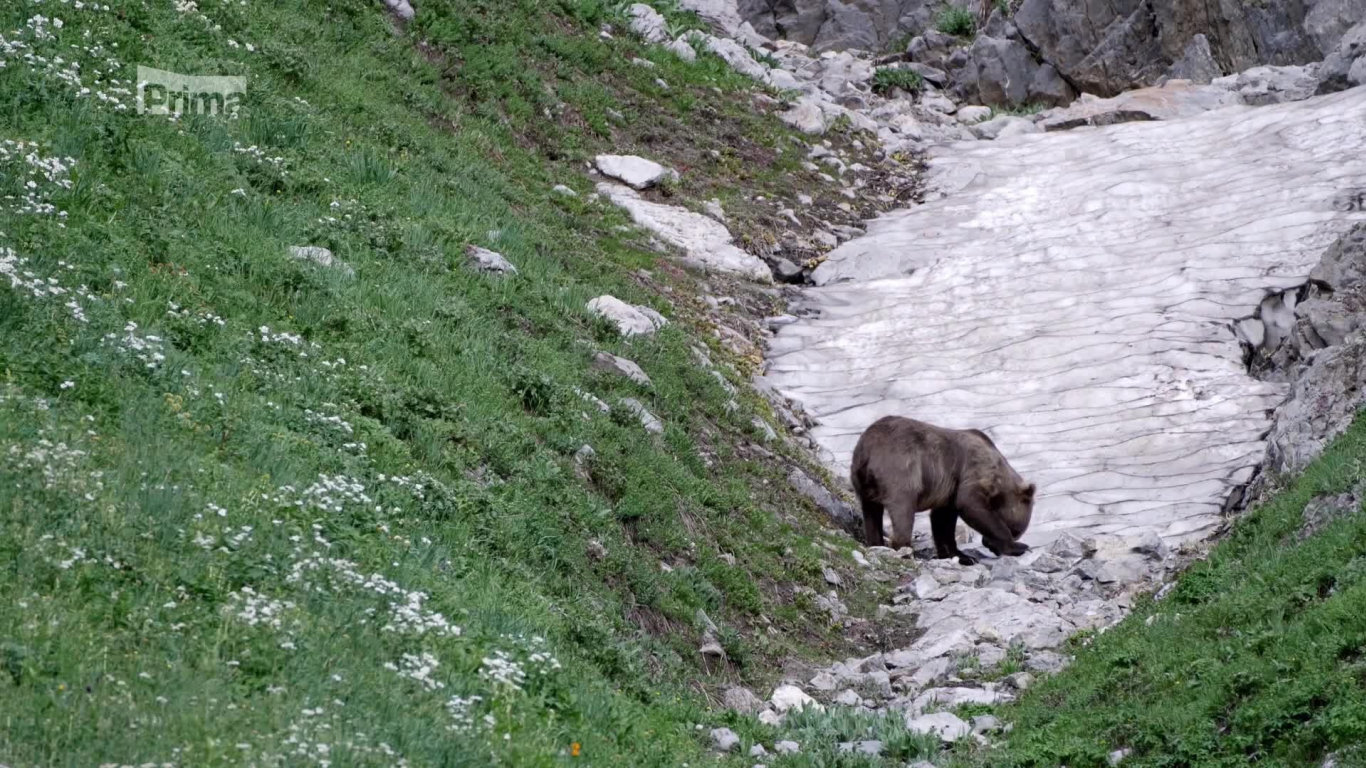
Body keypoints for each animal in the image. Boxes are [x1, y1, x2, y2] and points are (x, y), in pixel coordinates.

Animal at [846, 415, 1027, 565]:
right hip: (901, 472)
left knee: (871, 514)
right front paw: (1017, 546)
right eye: (1016, 531)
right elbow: (971, 506)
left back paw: (876, 543)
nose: (989, 545)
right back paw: (906, 552)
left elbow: (942, 522)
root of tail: (867, 451)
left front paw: (960, 556)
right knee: (903, 513)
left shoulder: (948, 492)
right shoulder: (973, 471)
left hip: (863, 483)